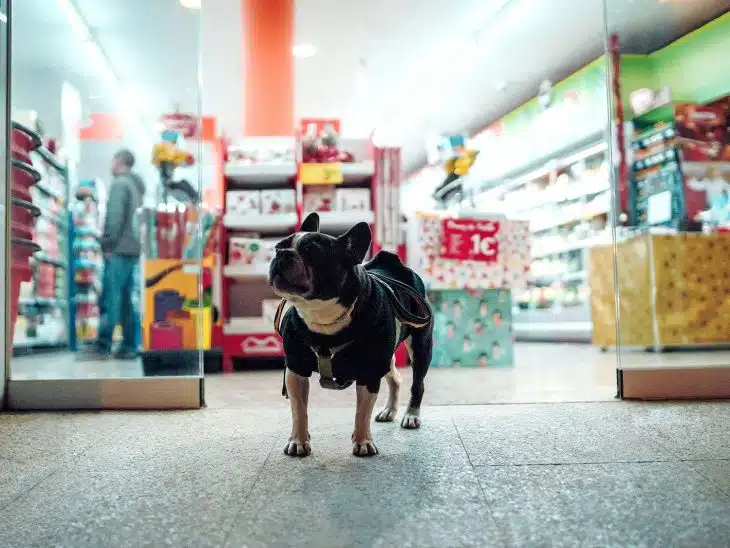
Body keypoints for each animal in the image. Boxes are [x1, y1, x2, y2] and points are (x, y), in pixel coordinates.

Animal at [268, 214, 432, 458]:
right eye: (278, 246)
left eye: (311, 251)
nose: (282, 254)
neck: (321, 314)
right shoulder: (296, 370)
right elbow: (299, 410)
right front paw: (298, 441)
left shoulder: (369, 373)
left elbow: (362, 412)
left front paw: (363, 442)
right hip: (386, 358)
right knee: (395, 378)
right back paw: (389, 411)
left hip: (420, 347)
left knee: (417, 384)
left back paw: (411, 415)